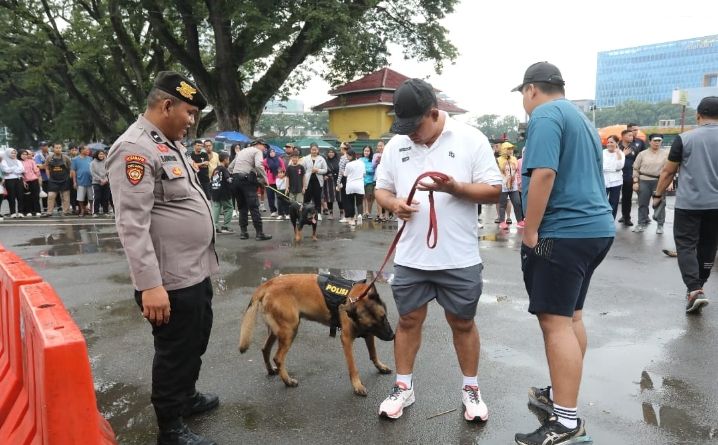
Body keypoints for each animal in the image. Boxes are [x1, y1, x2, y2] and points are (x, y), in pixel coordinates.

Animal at [239, 272, 396, 394]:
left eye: (384, 317)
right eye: (373, 324)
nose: (392, 336)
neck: (356, 297)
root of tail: (268, 283)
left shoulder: (369, 335)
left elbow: (373, 353)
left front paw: (380, 366)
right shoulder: (347, 339)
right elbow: (353, 367)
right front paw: (357, 385)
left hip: (277, 331)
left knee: (265, 349)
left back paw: (271, 370)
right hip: (290, 330)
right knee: (278, 358)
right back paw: (287, 381)